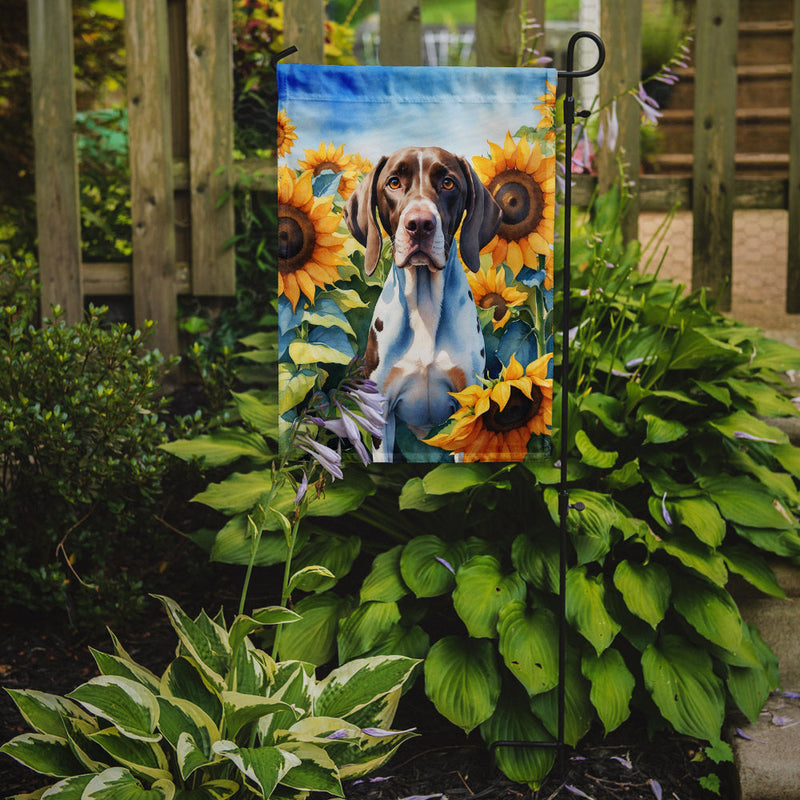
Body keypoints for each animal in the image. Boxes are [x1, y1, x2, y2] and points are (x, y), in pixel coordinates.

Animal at [344, 145, 500, 462]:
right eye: (393, 183)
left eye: (448, 183)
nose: (419, 225)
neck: (424, 308)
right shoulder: (381, 414)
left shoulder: (466, 407)